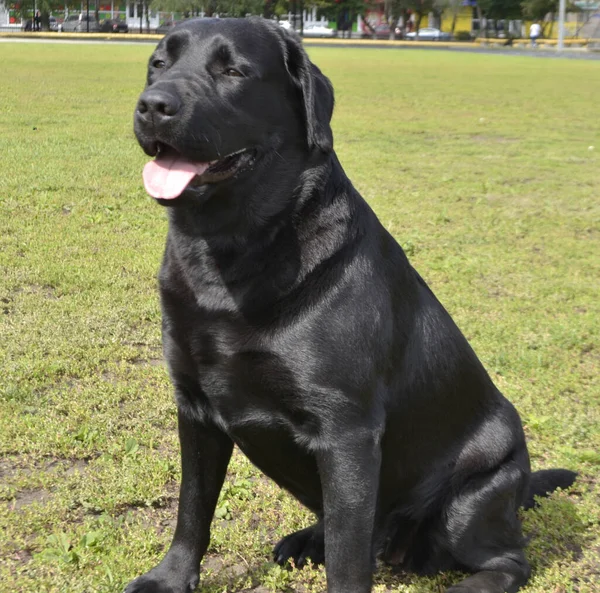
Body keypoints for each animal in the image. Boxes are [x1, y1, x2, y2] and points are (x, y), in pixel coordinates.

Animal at [127, 18, 576, 592]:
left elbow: (347, 558)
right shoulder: (195, 407)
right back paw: (306, 540)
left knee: (508, 559)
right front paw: (170, 577)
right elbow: (192, 508)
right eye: (158, 64)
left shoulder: (348, 433)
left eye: (233, 71)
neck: (230, 254)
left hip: (472, 497)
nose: (152, 104)